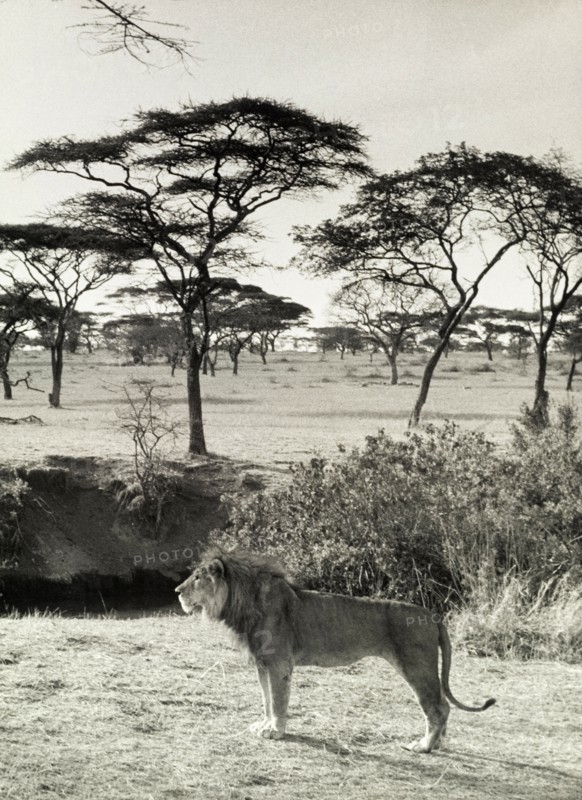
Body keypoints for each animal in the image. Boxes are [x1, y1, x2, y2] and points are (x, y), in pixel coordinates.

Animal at [175, 547, 495, 753]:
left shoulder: (279, 663)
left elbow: (278, 700)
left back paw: (424, 746)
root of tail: (432, 615)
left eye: (197, 578)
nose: (177, 592)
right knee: (442, 705)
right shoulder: (261, 662)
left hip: (417, 666)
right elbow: (266, 700)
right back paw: (437, 744)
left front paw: (276, 732)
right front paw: (264, 726)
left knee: (437, 707)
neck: (243, 602)